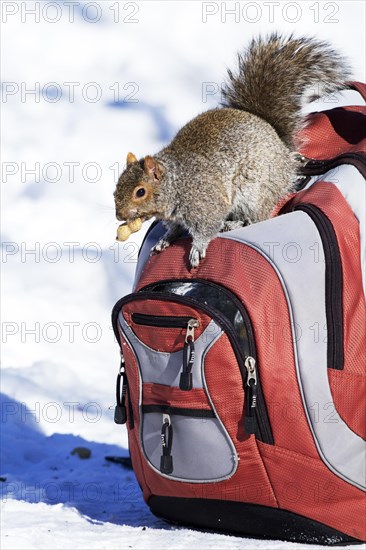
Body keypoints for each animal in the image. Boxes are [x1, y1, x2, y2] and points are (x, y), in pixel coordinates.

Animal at [113, 33, 350, 268]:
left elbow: (207, 227)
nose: (119, 215)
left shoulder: (206, 202)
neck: (176, 182)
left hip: (254, 192)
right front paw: (164, 240)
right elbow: (174, 229)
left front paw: (197, 249)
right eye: (116, 188)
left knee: (256, 219)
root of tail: (281, 149)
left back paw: (233, 224)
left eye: (140, 192)